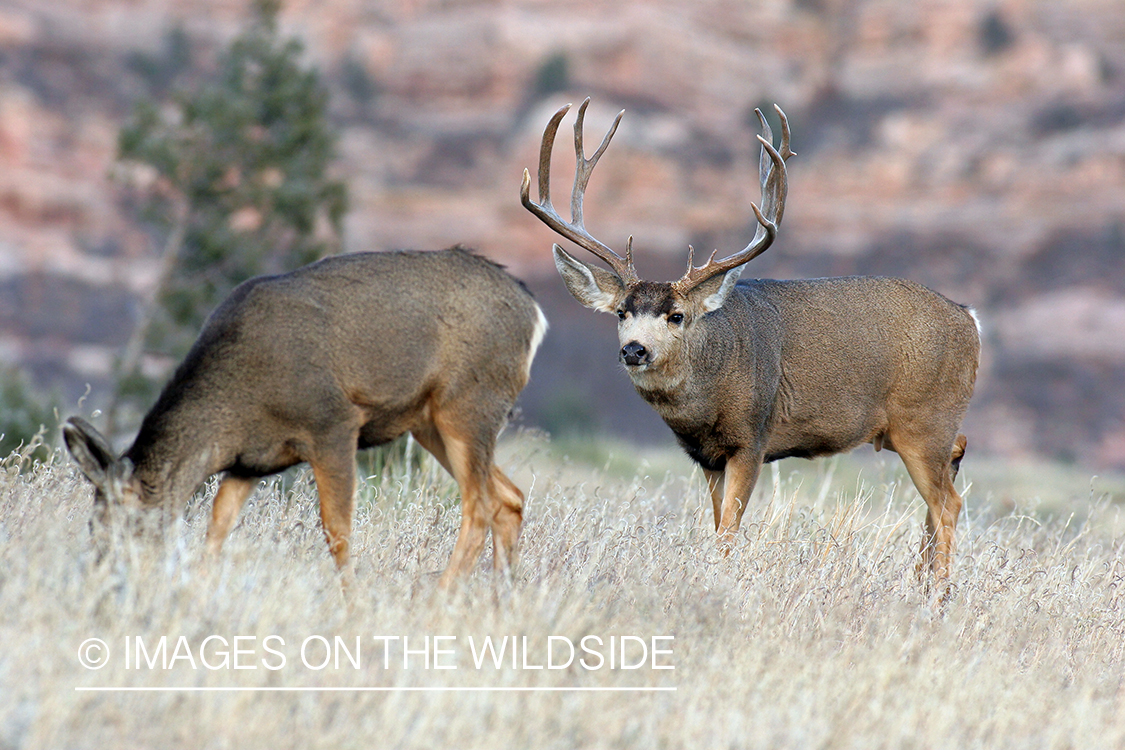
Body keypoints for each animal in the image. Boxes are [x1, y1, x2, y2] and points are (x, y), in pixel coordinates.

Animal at [65, 249, 549, 589]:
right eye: (91, 525)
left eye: (121, 525)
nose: (103, 577)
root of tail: (534, 311)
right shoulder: (249, 462)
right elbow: (217, 528)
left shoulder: (332, 422)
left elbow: (337, 531)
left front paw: (352, 606)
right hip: (429, 421)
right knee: (508, 497)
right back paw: (499, 603)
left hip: (469, 402)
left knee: (480, 504)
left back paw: (438, 601)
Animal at [522, 99, 981, 584]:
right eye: (621, 313)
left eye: (676, 315)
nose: (634, 349)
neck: (705, 400)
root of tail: (969, 319)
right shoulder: (707, 457)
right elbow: (716, 522)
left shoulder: (752, 437)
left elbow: (728, 531)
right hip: (904, 429)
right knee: (955, 460)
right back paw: (923, 574)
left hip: (923, 419)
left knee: (949, 502)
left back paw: (939, 588)